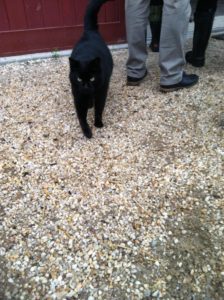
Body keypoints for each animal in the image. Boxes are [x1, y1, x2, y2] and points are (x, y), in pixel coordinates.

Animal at [68, 0, 114, 138]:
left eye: (92, 78)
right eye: (79, 79)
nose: (86, 85)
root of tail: (90, 31)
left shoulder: (101, 91)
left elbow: (99, 109)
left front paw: (98, 123)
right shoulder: (77, 94)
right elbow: (81, 116)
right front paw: (87, 131)